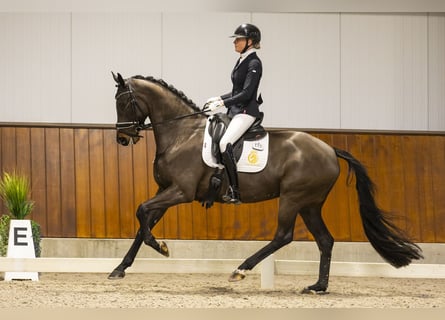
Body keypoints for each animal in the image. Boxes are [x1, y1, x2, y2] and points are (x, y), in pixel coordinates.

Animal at [108, 72, 424, 292]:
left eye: (124, 102)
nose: (122, 138)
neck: (181, 134)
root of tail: (330, 150)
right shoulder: (165, 190)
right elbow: (142, 223)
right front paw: (120, 268)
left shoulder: (180, 192)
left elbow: (141, 211)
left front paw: (160, 246)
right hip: (310, 204)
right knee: (325, 240)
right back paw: (318, 287)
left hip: (293, 198)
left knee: (283, 235)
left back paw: (241, 270)